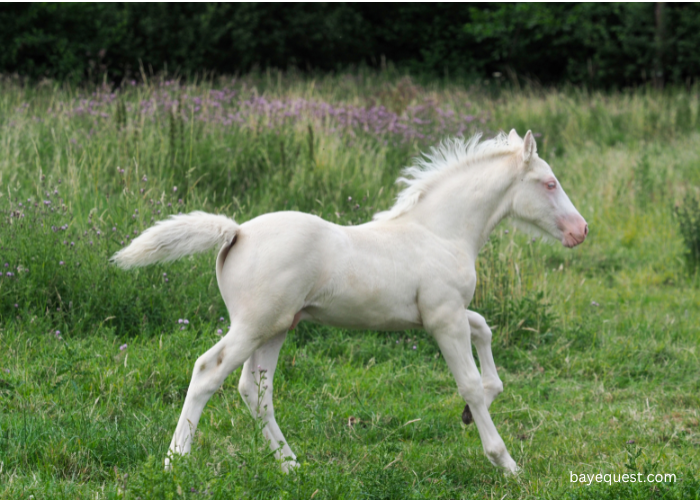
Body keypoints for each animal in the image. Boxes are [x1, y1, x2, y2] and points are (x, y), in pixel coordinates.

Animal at [113, 129, 584, 472]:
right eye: (550, 183)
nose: (580, 231)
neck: (440, 232)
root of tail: (237, 231)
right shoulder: (443, 319)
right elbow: (466, 380)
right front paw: (505, 461)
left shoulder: (441, 314)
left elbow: (484, 328)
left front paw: (477, 406)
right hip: (252, 325)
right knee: (207, 371)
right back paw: (175, 461)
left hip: (277, 327)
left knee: (255, 391)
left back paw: (290, 465)